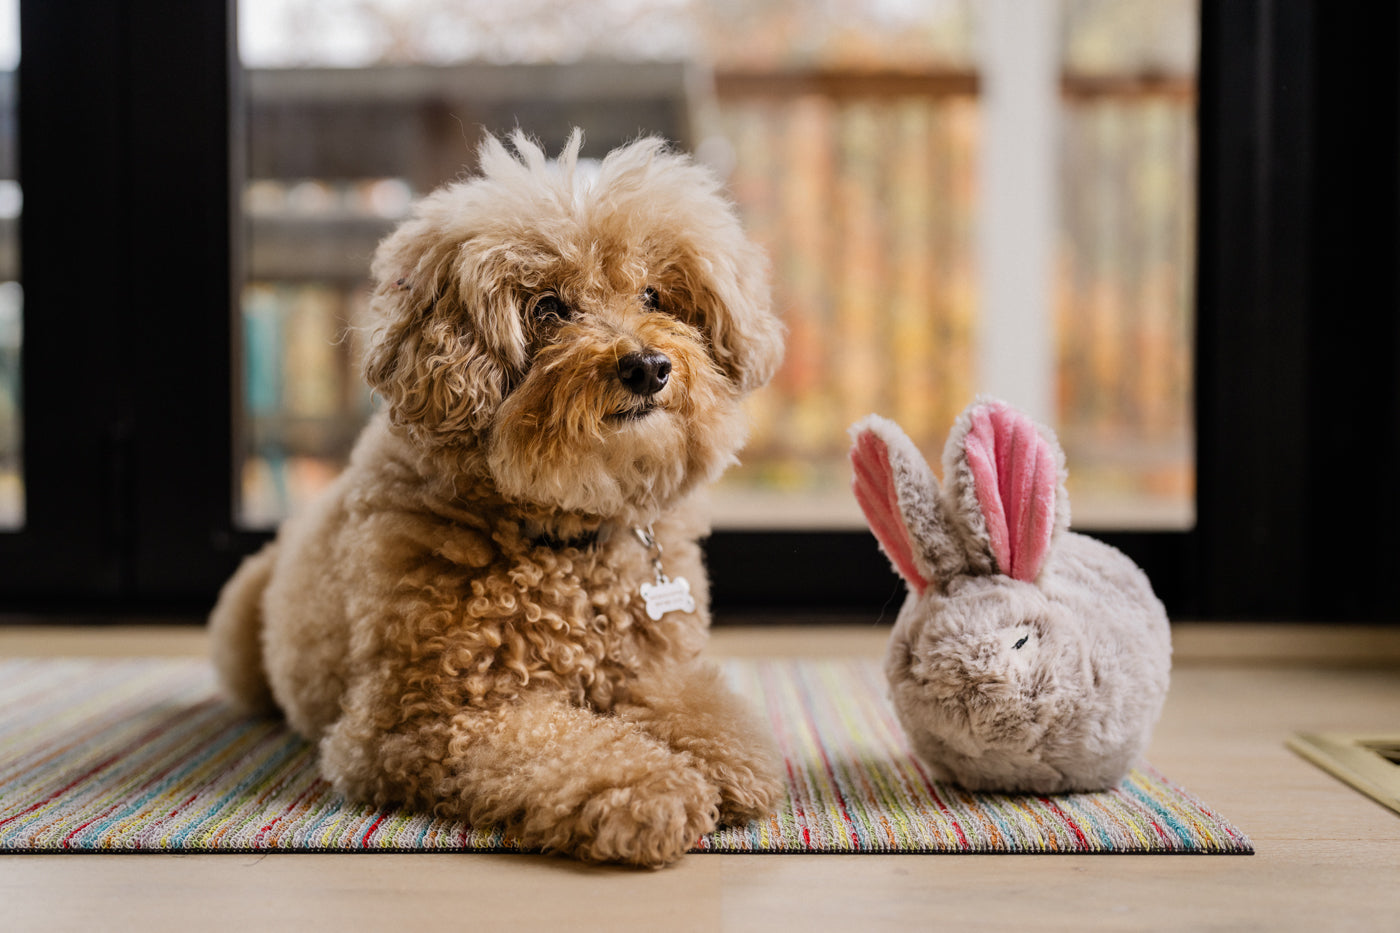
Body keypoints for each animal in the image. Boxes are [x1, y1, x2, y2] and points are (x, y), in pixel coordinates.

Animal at [214, 128, 795, 862]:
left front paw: (729, 762)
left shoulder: (654, 670)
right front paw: (652, 792)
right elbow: (569, 747)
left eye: (654, 295)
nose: (648, 366)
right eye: (549, 307)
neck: (569, 542)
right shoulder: (426, 720)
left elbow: (708, 715)